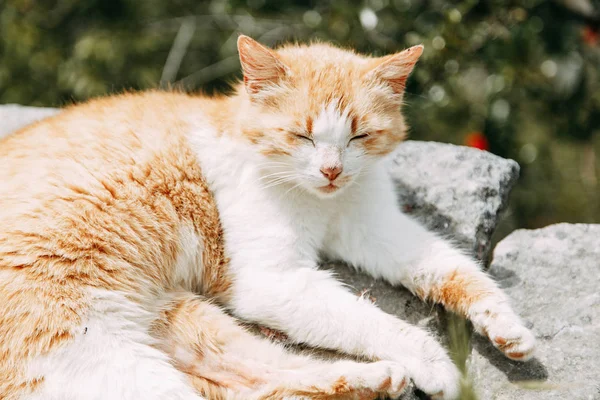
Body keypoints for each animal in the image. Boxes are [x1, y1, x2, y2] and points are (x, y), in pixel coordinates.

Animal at [0, 35, 536, 400]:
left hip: (181, 317)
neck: (323, 201)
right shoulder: (274, 279)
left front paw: (505, 325)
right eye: (301, 135)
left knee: (254, 379)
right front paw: (436, 361)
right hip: (98, 353)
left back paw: (371, 379)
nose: (331, 170)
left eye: (358, 137)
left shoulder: (376, 228)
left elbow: (453, 268)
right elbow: (376, 321)